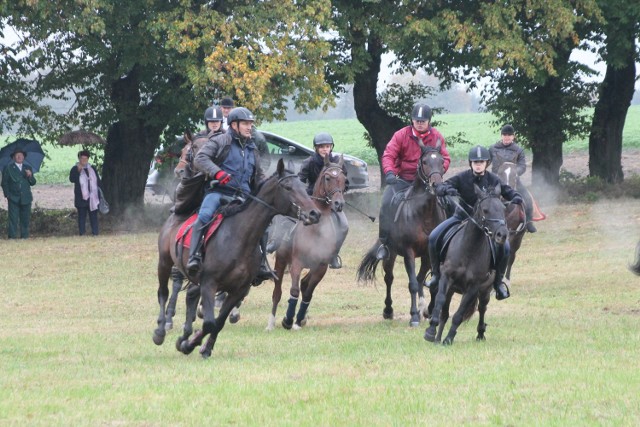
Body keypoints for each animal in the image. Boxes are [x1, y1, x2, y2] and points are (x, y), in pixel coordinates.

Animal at [151, 160, 320, 358]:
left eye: (303, 186)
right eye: (287, 187)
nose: (314, 214)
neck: (239, 237)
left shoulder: (239, 289)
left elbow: (218, 322)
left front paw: (199, 346)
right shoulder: (209, 283)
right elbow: (210, 322)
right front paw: (190, 344)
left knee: (191, 294)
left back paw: (185, 334)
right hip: (164, 262)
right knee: (163, 292)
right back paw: (160, 332)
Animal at [266, 155, 350, 332]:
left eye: (344, 180)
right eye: (327, 178)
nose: (338, 204)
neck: (316, 229)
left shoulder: (321, 267)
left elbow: (308, 293)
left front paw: (298, 321)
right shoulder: (297, 263)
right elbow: (294, 290)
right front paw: (287, 320)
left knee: (304, 285)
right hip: (282, 260)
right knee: (277, 292)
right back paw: (271, 323)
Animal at [356, 144, 444, 328]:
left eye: (441, 161)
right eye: (425, 162)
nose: (436, 185)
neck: (424, 213)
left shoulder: (430, 254)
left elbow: (431, 283)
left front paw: (430, 312)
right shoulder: (409, 252)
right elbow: (412, 284)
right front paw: (414, 317)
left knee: (419, 279)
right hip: (390, 254)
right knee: (389, 278)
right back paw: (388, 310)